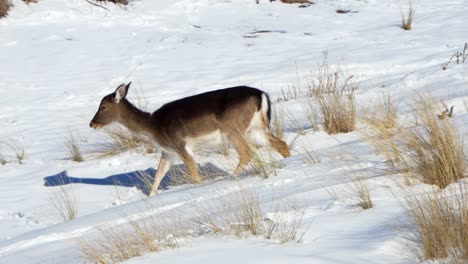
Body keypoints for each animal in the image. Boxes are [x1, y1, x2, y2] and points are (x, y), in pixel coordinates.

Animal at [89, 82, 290, 196]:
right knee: (281, 144)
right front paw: (150, 198)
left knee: (247, 152)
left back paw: (231, 176)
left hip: (233, 129)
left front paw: (199, 186)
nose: (92, 124)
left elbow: (193, 172)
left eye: (103, 106)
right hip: (255, 129)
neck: (153, 126)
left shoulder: (180, 144)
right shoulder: (168, 152)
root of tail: (261, 95)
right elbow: (158, 175)